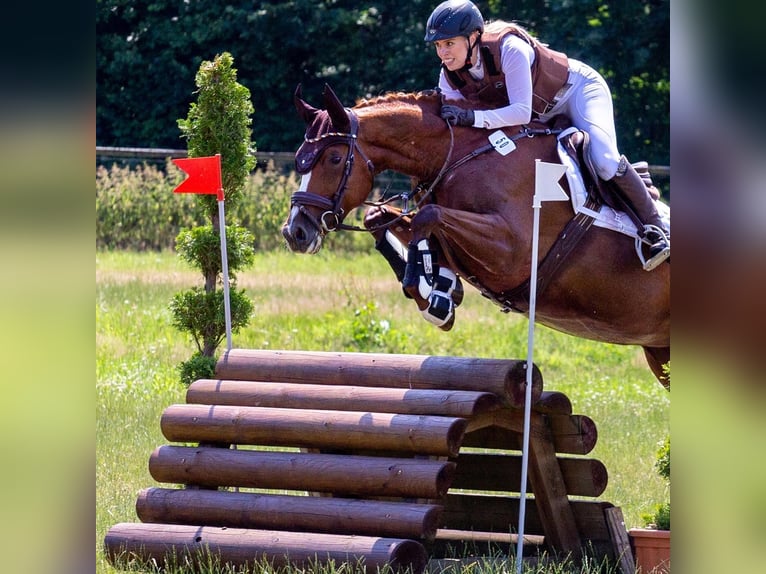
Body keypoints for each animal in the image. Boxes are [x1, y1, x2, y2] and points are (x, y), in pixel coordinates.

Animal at [282, 84, 670, 388]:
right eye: (300, 158)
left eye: (333, 158)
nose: (295, 232)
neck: (459, 155)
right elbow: (384, 217)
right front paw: (439, 288)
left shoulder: (512, 251)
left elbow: (428, 217)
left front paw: (432, 294)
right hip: (659, 352)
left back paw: (657, 243)